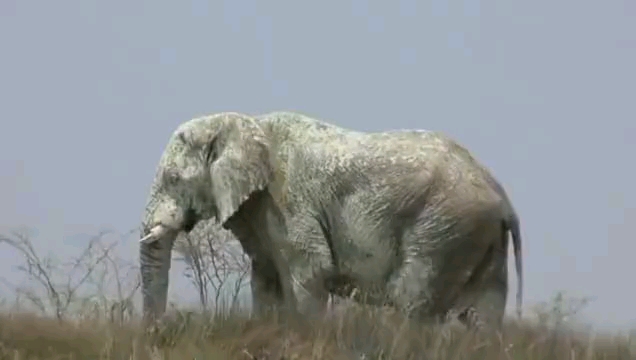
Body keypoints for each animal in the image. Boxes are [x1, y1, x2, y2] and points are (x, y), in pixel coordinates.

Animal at [139, 110, 520, 330]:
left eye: (174, 178)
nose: (160, 330)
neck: (242, 123)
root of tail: (503, 198)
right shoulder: (261, 212)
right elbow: (266, 279)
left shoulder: (288, 201)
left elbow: (311, 272)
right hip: (479, 236)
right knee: (483, 313)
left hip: (444, 227)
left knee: (411, 299)